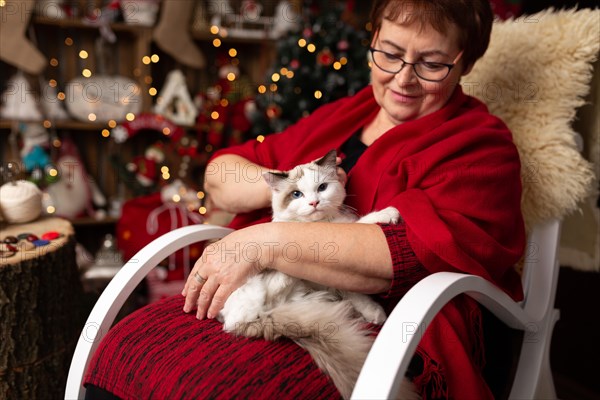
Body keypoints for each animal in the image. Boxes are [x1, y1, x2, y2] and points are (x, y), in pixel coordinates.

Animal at [218, 151, 420, 400]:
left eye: (322, 188)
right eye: (296, 194)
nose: (314, 202)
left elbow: (356, 295)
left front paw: (374, 313)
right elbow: (365, 220)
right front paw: (388, 214)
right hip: (252, 293)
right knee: (264, 295)